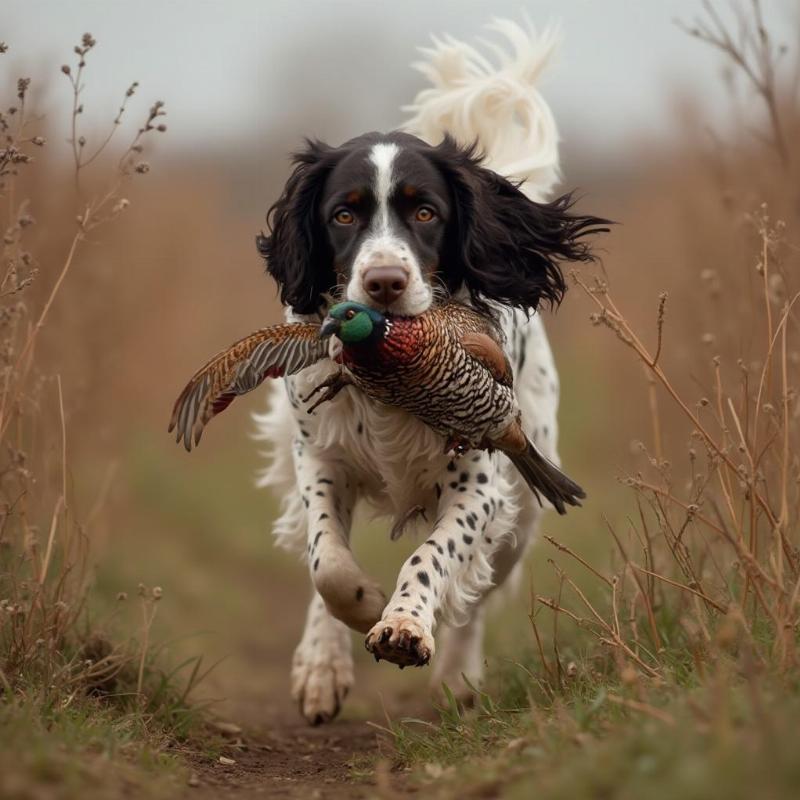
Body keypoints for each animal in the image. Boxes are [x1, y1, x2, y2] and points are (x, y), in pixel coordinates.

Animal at [253, 18, 604, 720]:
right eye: (343, 214)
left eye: (425, 212)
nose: (385, 281)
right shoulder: (320, 458)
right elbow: (328, 566)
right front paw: (354, 620)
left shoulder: (478, 484)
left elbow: (433, 556)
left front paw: (404, 624)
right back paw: (323, 664)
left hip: (524, 498)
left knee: (476, 597)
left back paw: (458, 679)